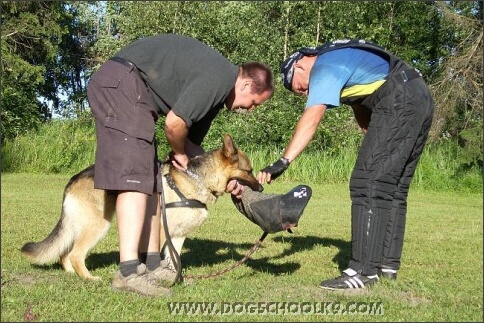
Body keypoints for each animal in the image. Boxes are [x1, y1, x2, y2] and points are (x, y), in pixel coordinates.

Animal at [20, 134, 262, 280]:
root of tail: (73, 179)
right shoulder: (162, 232)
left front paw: (177, 279)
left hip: (78, 226)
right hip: (98, 226)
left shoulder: (178, 236)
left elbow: (174, 260)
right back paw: (88, 278)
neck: (198, 180)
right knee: (76, 254)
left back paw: (72, 274)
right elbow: (161, 259)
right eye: (248, 171)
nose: (261, 187)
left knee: (64, 253)